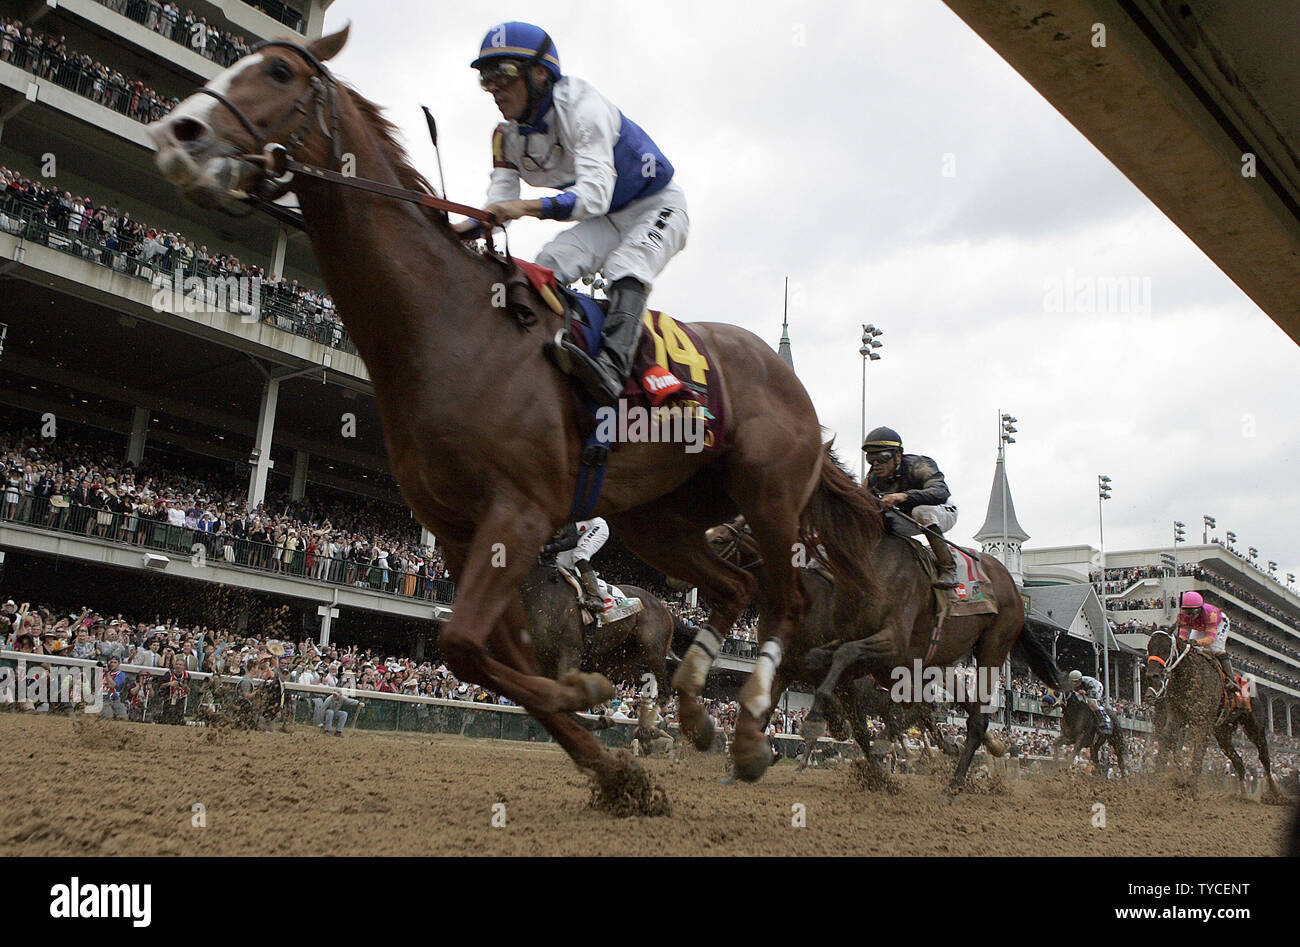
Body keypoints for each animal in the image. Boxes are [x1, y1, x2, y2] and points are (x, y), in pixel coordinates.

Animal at [147, 27, 883, 790]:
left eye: (279, 71)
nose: (178, 132)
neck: (445, 325)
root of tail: (791, 383)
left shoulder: (521, 512)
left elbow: (471, 648)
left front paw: (595, 714)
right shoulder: (459, 533)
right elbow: (479, 654)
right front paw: (610, 767)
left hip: (767, 494)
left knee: (782, 603)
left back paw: (747, 730)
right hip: (660, 520)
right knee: (733, 589)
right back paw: (694, 714)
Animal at [712, 483, 1066, 785]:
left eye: (719, 540)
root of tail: (1014, 593)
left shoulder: (846, 675)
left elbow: (849, 722)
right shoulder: (787, 668)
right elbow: (764, 713)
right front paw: (735, 772)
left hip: (984, 649)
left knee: (943, 712)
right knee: (939, 712)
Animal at [1144, 629, 1284, 801]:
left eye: (1165, 648)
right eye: (1149, 647)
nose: (1152, 676)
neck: (1190, 675)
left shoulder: (1202, 722)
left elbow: (1197, 753)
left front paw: (1191, 789)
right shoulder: (1176, 715)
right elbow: (1166, 740)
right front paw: (1157, 781)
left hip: (1255, 727)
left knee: (1264, 757)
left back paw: (1274, 793)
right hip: (1222, 732)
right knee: (1238, 761)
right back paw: (1243, 795)